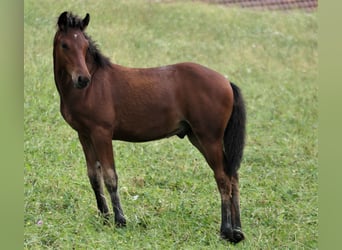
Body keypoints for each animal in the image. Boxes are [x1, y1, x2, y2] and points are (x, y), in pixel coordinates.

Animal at [52, 11, 246, 244]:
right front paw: (105, 218)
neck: (91, 89)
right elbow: (94, 177)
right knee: (232, 177)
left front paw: (120, 220)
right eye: (65, 45)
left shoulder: (102, 133)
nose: (83, 79)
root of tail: (227, 83)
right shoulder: (84, 135)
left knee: (223, 179)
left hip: (210, 139)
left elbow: (110, 177)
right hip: (198, 138)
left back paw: (226, 231)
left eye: (85, 46)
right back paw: (238, 230)